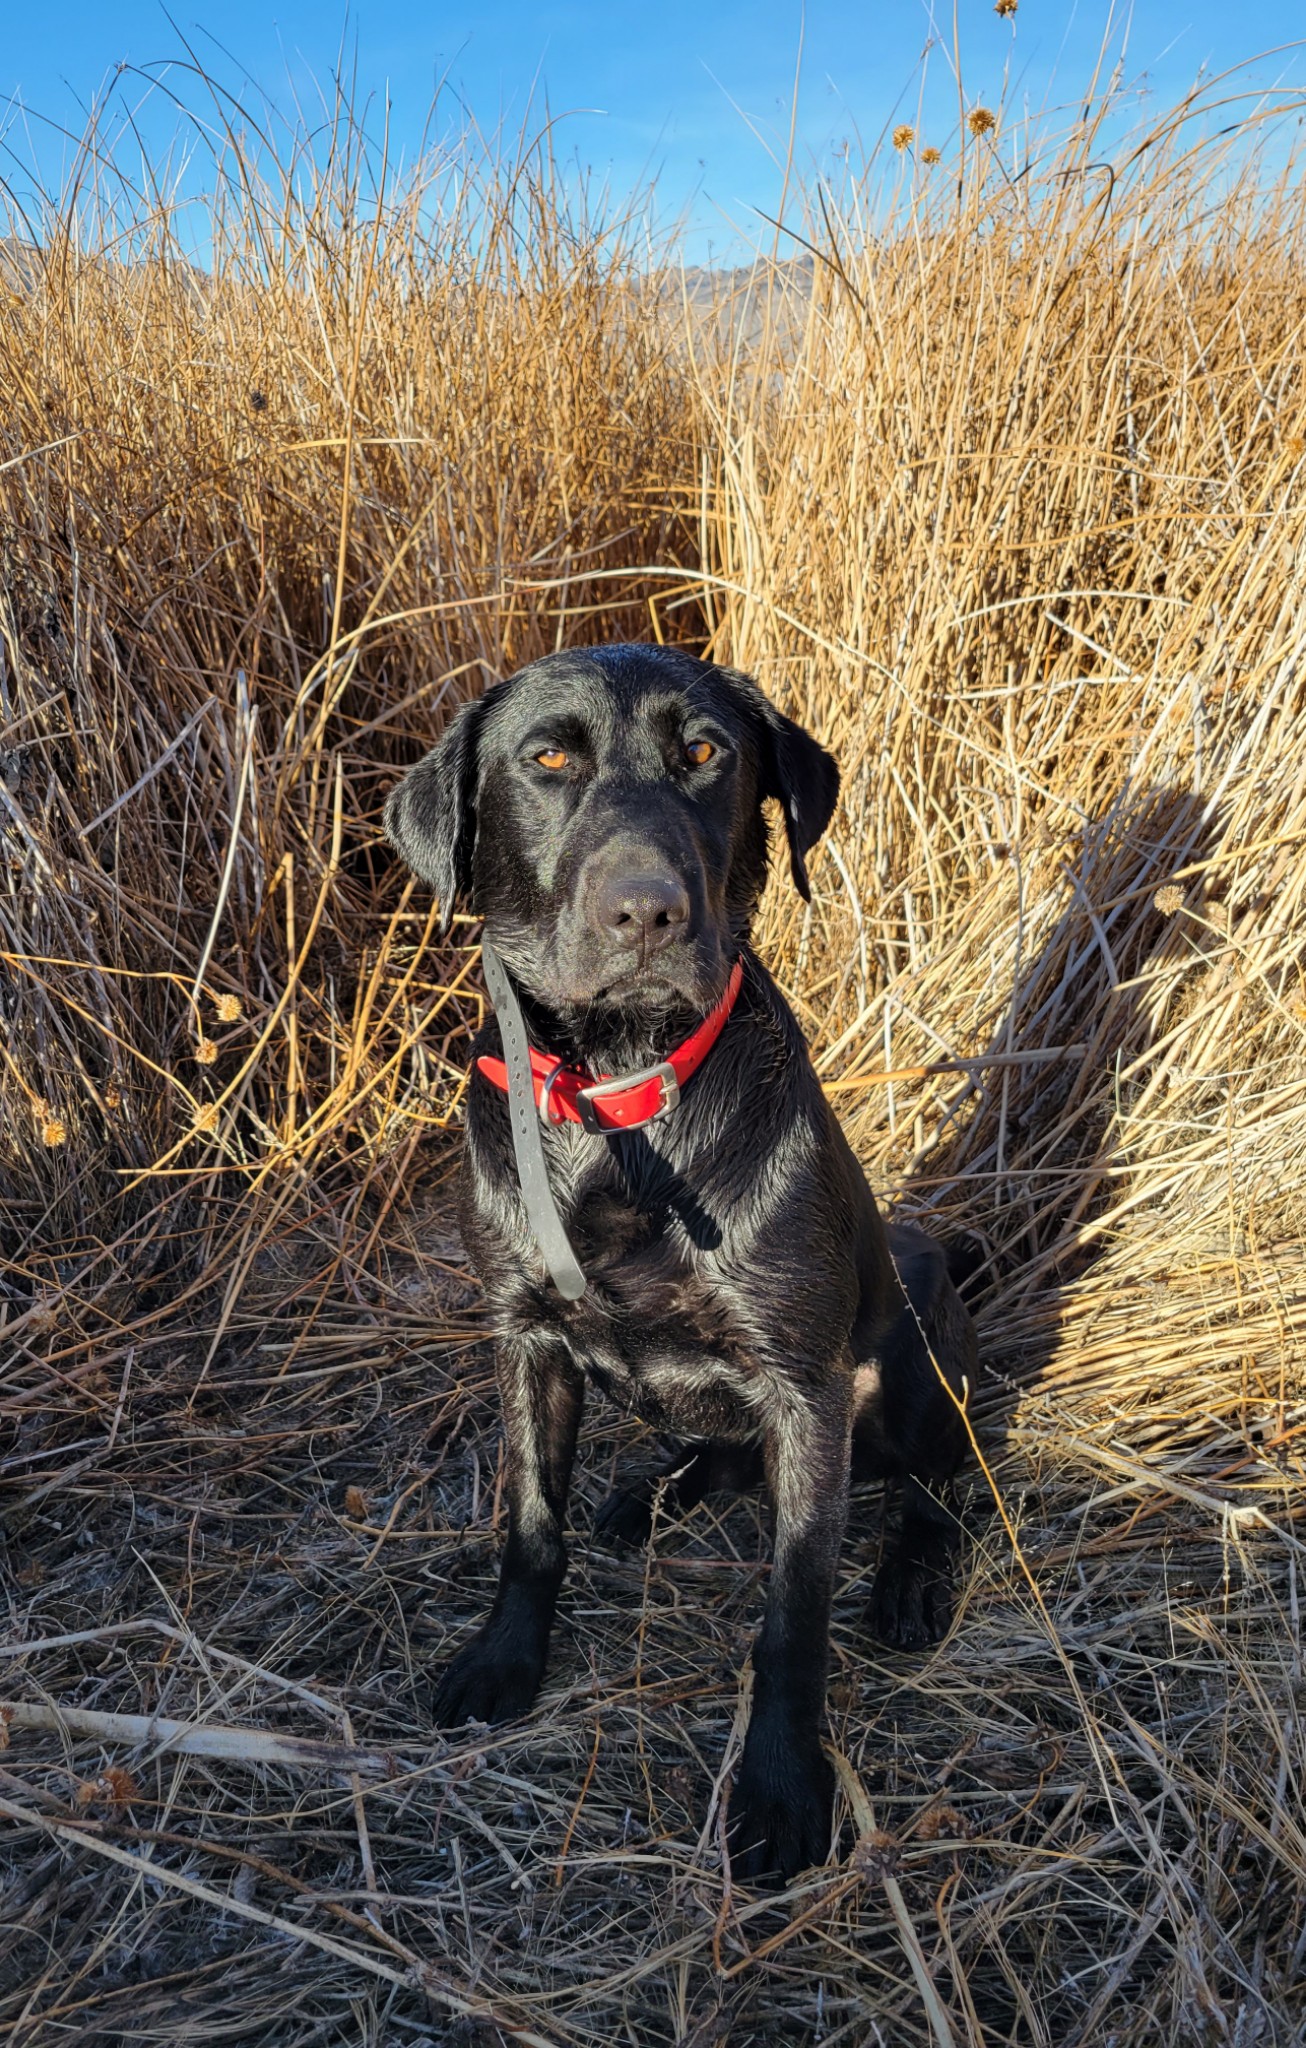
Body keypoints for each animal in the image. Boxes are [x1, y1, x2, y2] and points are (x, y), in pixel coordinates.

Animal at [388, 647, 982, 1875]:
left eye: (705, 751)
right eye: (547, 757)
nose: (647, 911)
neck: (620, 1097)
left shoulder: (807, 1386)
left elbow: (793, 1614)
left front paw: (781, 1789)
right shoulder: (523, 1338)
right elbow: (530, 1524)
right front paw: (504, 1660)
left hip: (910, 1361)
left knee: (940, 1483)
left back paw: (908, 1577)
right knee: (726, 1454)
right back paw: (656, 1493)